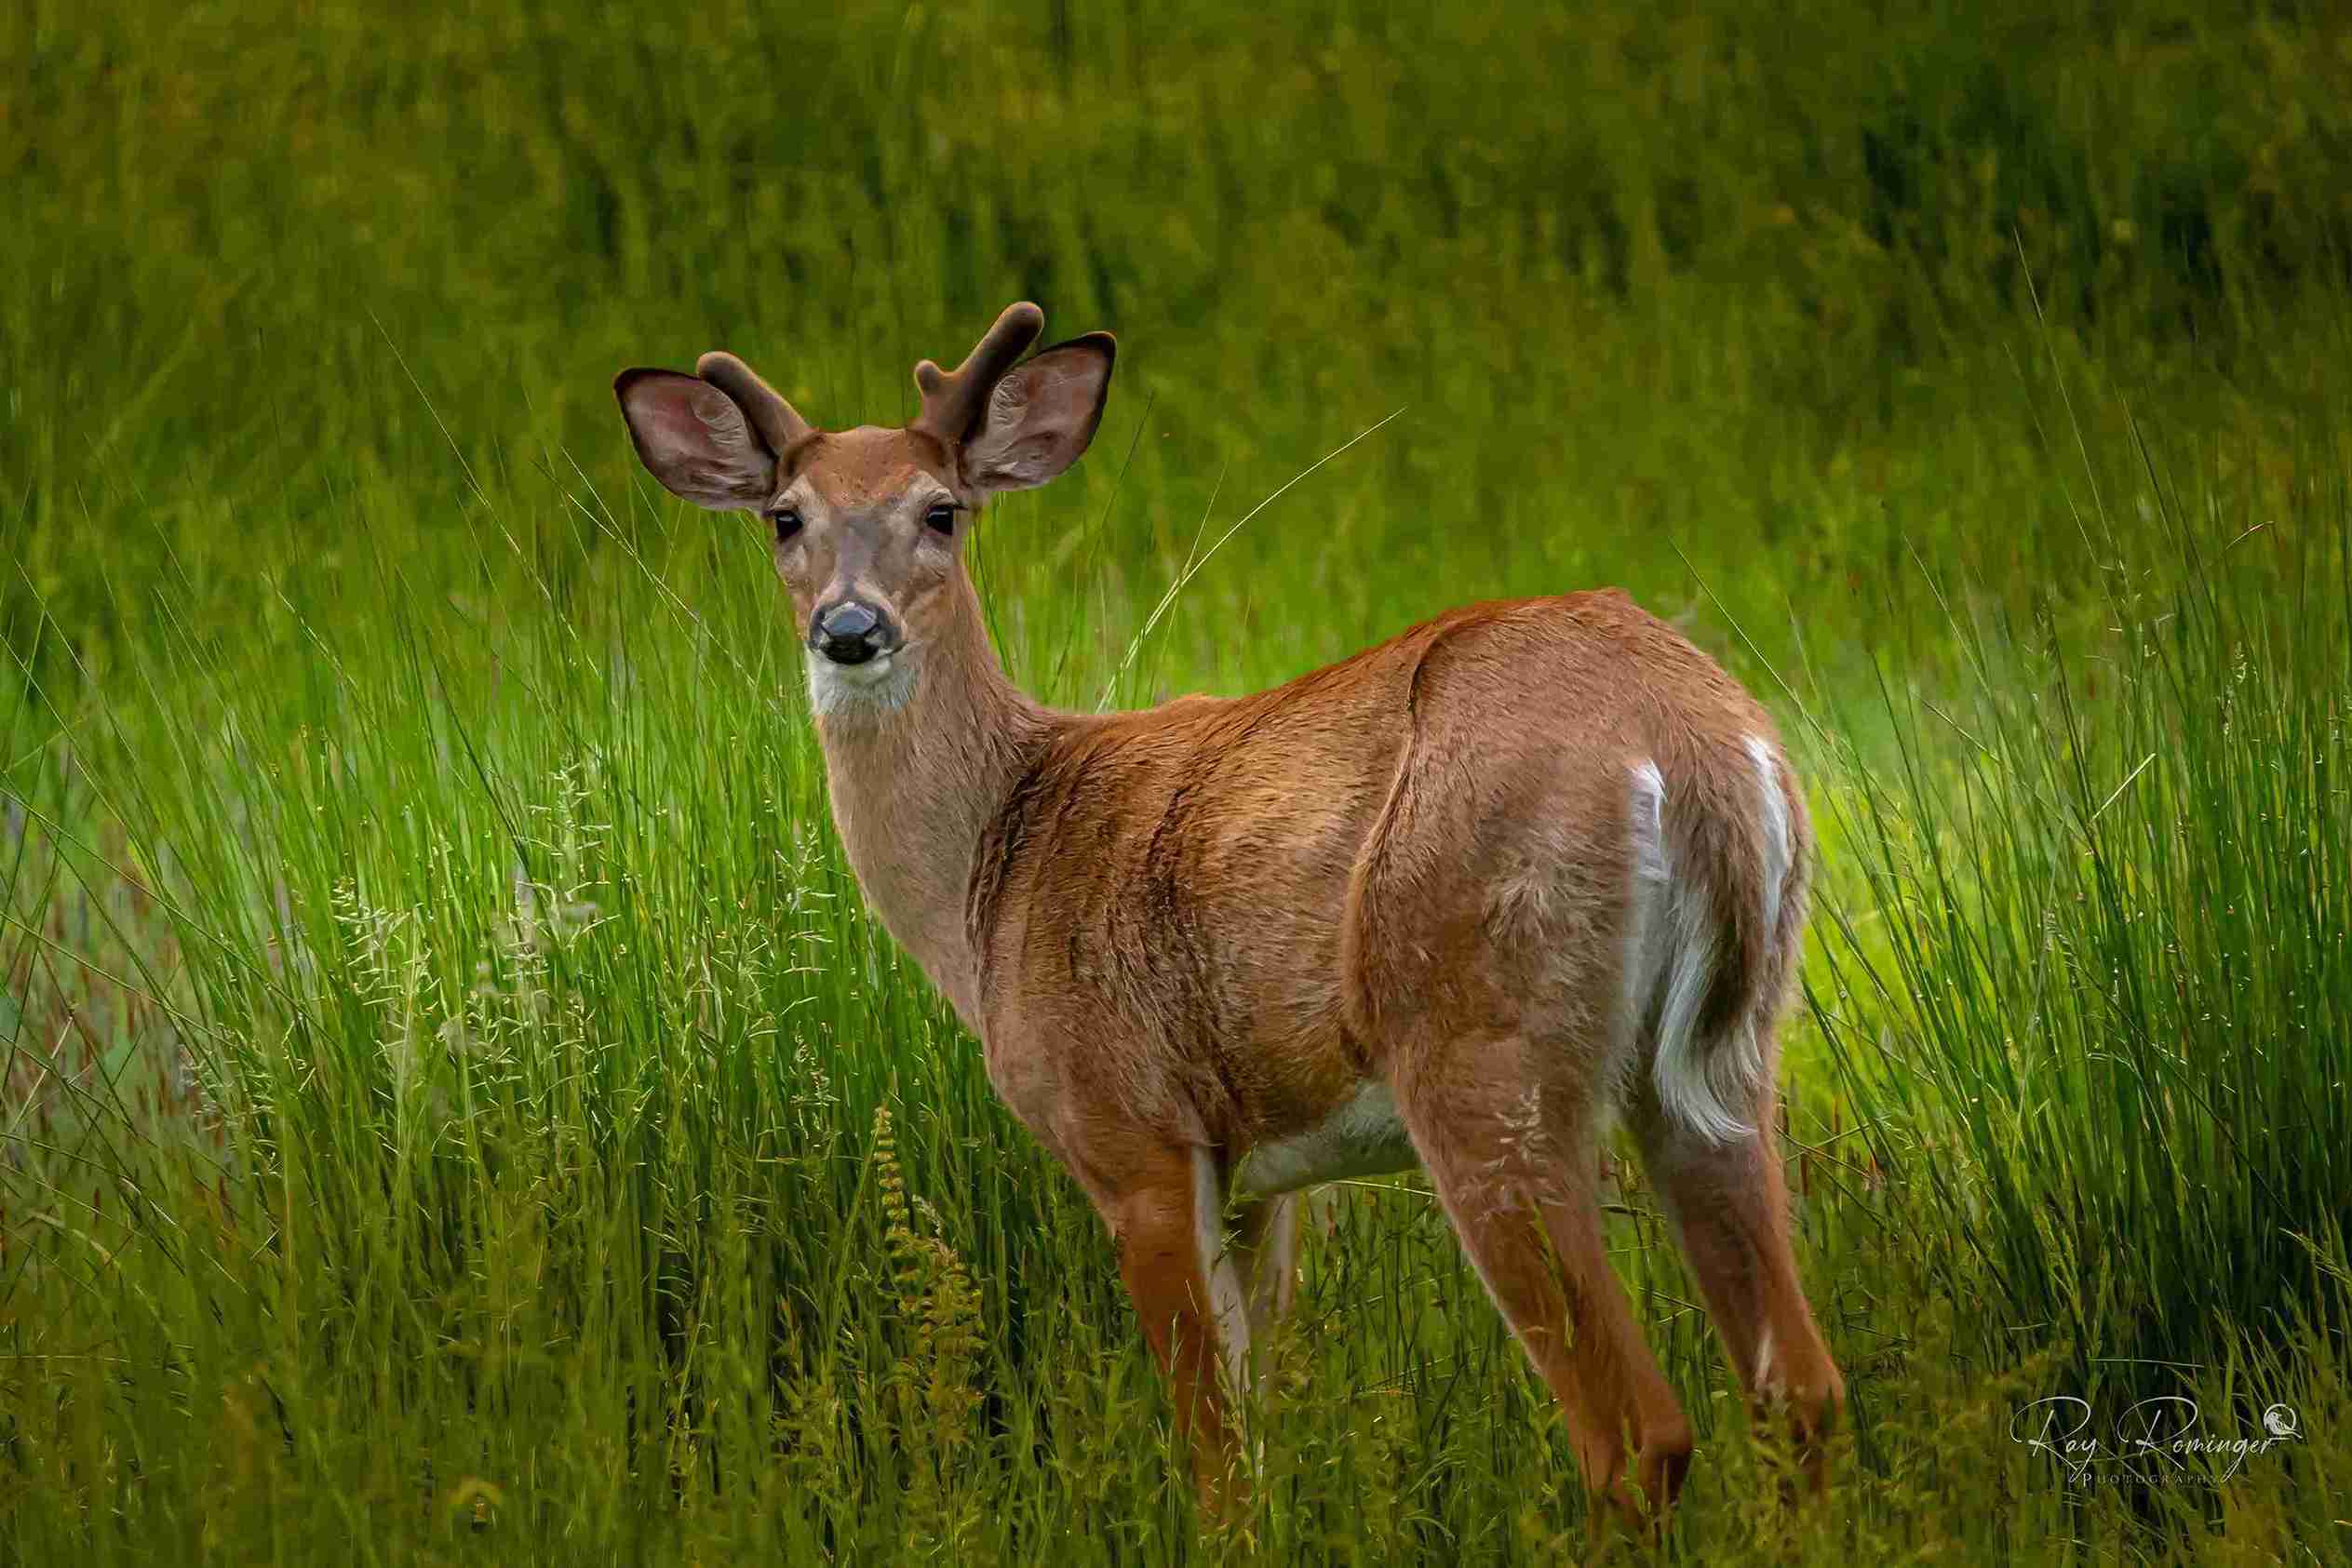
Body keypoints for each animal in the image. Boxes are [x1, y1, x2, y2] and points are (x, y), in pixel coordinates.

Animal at [613, 302, 1845, 1527]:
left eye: (941, 511)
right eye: (786, 517)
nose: (850, 627)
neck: (991, 869)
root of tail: (1687, 737)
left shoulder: (1132, 1132)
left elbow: (1215, 1458)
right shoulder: (1258, 1172)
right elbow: (1267, 1435)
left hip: (1482, 1038)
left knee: (1637, 1431)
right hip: (1719, 1060)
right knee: (1800, 1388)